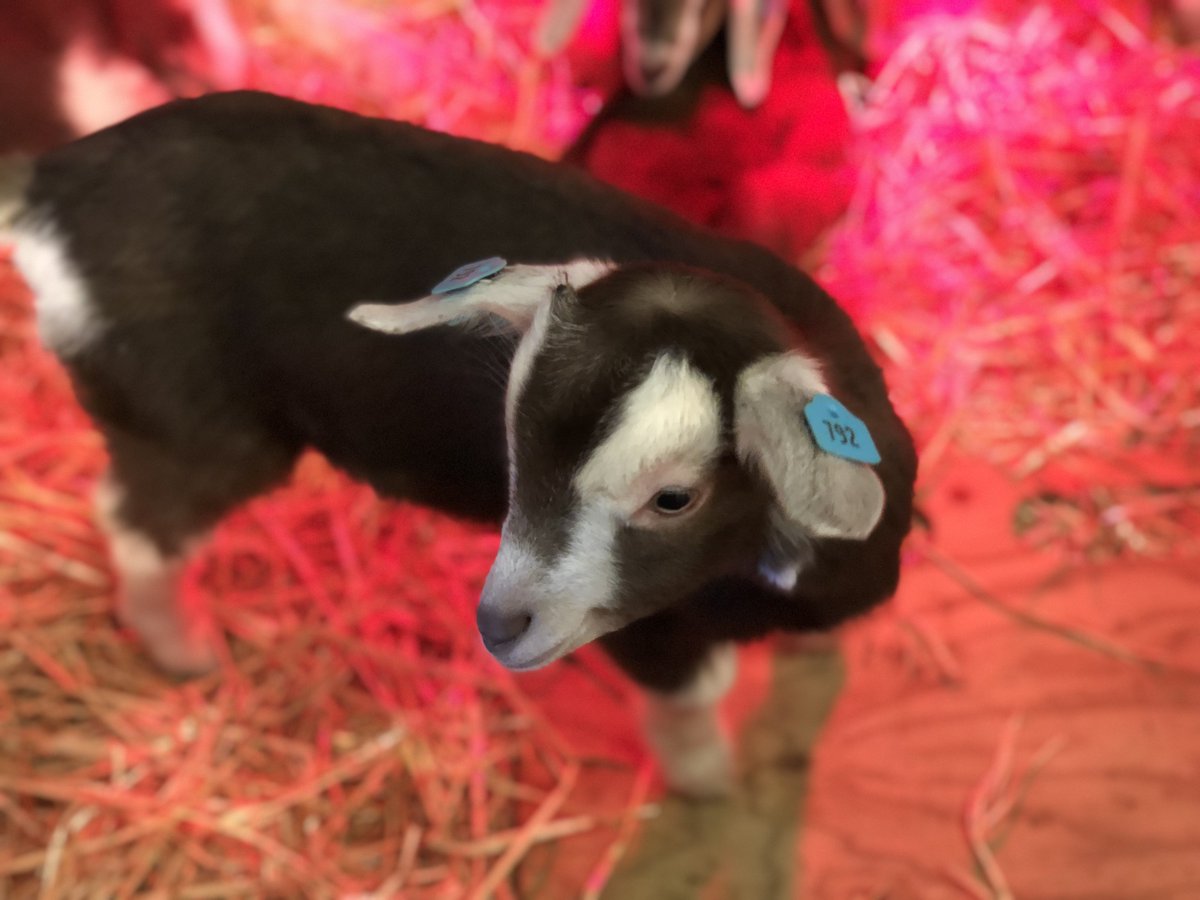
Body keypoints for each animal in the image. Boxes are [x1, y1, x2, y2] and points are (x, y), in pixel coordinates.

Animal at [1, 90, 916, 795]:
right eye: (515, 450)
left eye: (674, 498)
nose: (499, 626)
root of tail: (51, 192)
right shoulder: (653, 628)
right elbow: (694, 695)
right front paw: (710, 782)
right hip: (194, 423)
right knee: (137, 520)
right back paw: (183, 646)